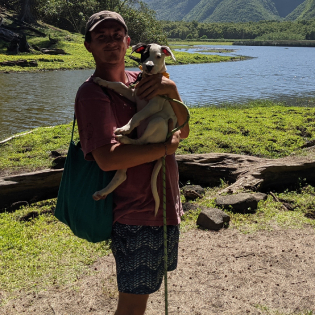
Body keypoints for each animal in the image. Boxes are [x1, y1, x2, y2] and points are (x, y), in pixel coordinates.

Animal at [92, 43, 179, 216]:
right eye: (145, 54)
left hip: (157, 121)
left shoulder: (155, 103)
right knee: (122, 174)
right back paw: (102, 192)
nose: (149, 66)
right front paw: (102, 81)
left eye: (159, 56)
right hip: (128, 157)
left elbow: (137, 115)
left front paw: (126, 127)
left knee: (141, 142)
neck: (149, 79)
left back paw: (124, 136)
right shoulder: (133, 94)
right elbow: (118, 85)